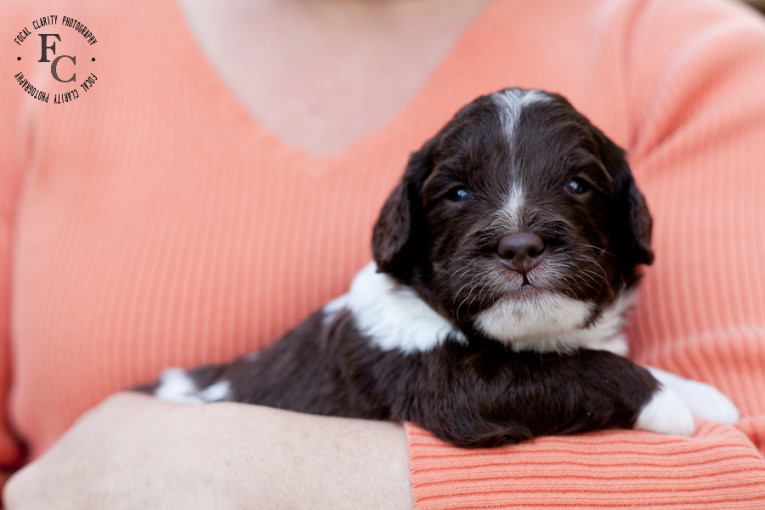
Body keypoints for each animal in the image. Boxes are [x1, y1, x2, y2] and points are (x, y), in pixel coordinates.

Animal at [136, 89, 736, 448]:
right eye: (457, 193)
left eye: (578, 184)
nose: (520, 246)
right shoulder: (443, 382)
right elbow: (570, 370)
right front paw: (670, 404)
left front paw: (701, 395)